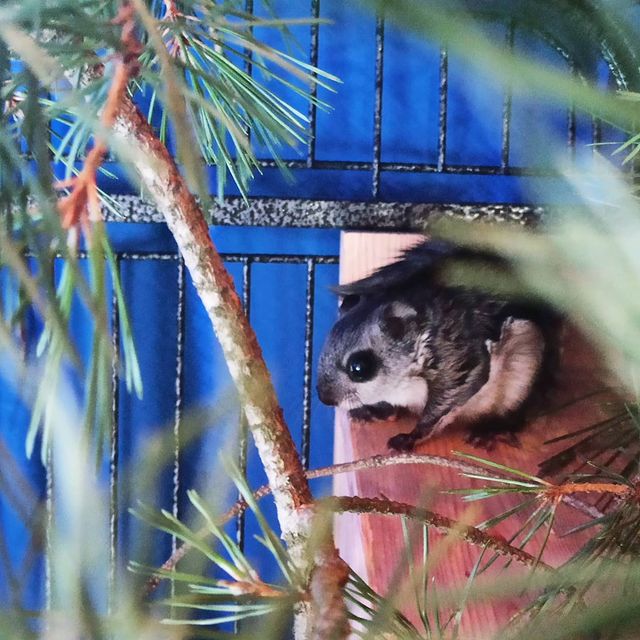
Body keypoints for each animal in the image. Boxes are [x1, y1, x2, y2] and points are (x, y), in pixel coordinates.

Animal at [316, 238, 559, 451]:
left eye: (359, 367)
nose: (325, 399)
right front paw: (375, 410)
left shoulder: (459, 361)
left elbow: (443, 406)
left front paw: (411, 436)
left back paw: (492, 430)